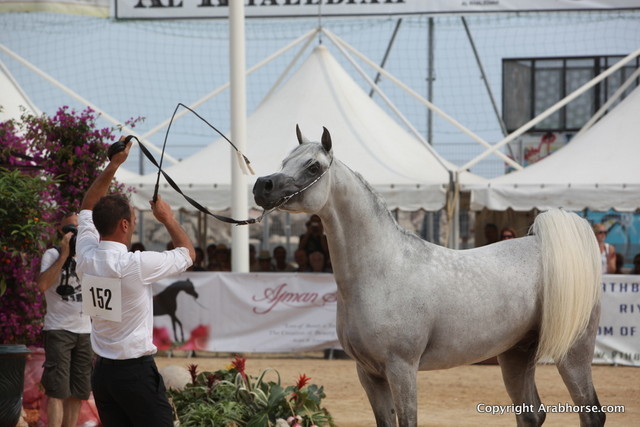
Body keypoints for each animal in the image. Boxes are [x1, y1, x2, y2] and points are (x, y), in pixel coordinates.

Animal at [253, 126, 604, 427]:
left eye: (313, 166)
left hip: (572, 354)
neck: (382, 270)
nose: (262, 186)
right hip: (516, 354)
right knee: (532, 414)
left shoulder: (402, 369)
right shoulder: (368, 373)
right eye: (285, 161)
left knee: (591, 414)